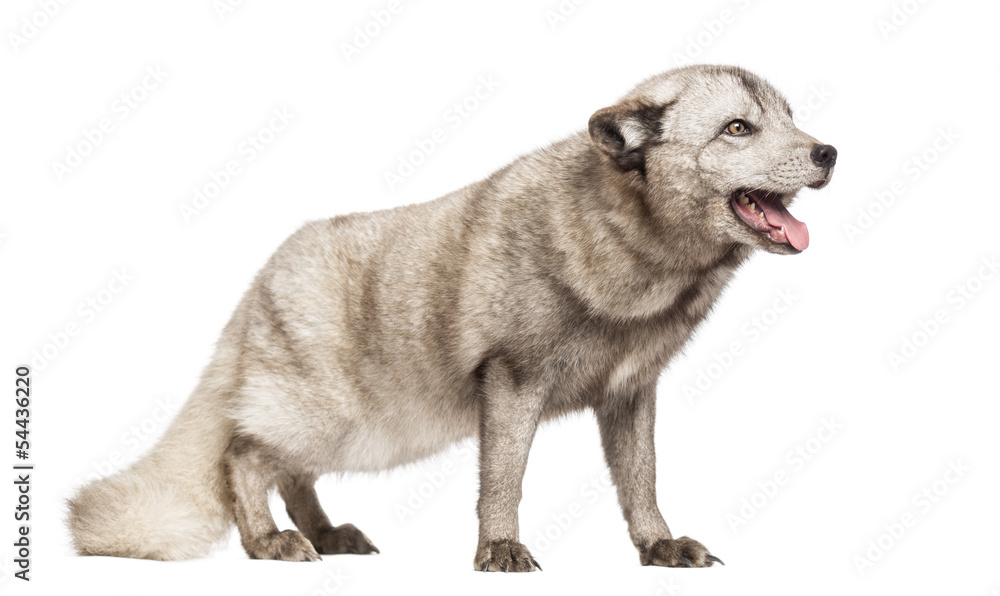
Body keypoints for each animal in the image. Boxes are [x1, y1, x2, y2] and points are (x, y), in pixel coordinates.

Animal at [68, 64, 836, 571]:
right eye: (737, 128)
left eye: (791, 118)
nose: (829, 151)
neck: (637, 268)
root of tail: (263, 277)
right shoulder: (512, 380)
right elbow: (503, 479)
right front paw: (499, 549)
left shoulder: (629, 391)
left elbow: (640, 480)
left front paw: (657, 545)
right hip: (340, 420)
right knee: (243, 455)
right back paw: (268, 542)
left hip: (354, 433)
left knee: (291, 472)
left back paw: (327, 535)